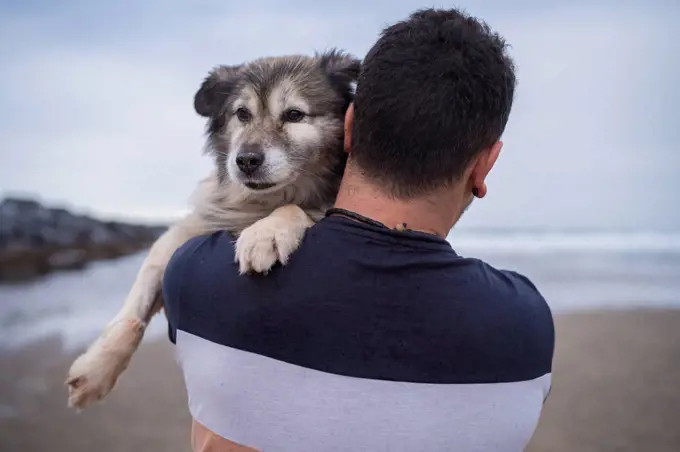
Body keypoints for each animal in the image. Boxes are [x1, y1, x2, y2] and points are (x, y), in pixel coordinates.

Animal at [65, 49, 358, 410]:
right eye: (242, 114)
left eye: (294, 115)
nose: (246, 161)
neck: (261, 202)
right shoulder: (186, 233)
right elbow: (135, 304)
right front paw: (98, 368)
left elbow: (296, 209)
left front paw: (266, 233)